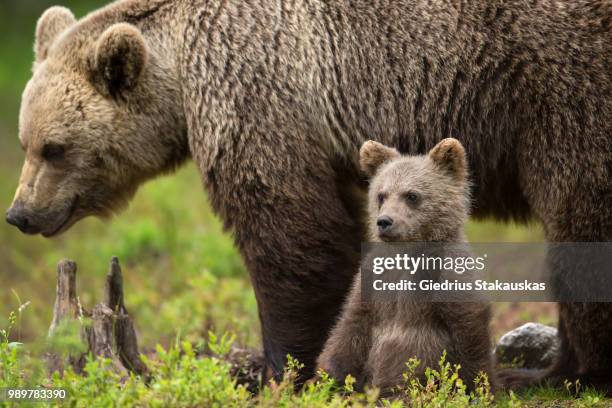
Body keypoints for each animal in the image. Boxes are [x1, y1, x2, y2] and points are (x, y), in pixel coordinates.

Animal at [4, 0, 612, 388]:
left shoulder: (256, 93)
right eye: (26, 141)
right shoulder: (334, 140)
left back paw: (555, 372)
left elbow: (293, 235)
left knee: (580, 219)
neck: (181, 74)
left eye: (55, 148)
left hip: (564, 89)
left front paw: (279, 368)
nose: (20, 213)